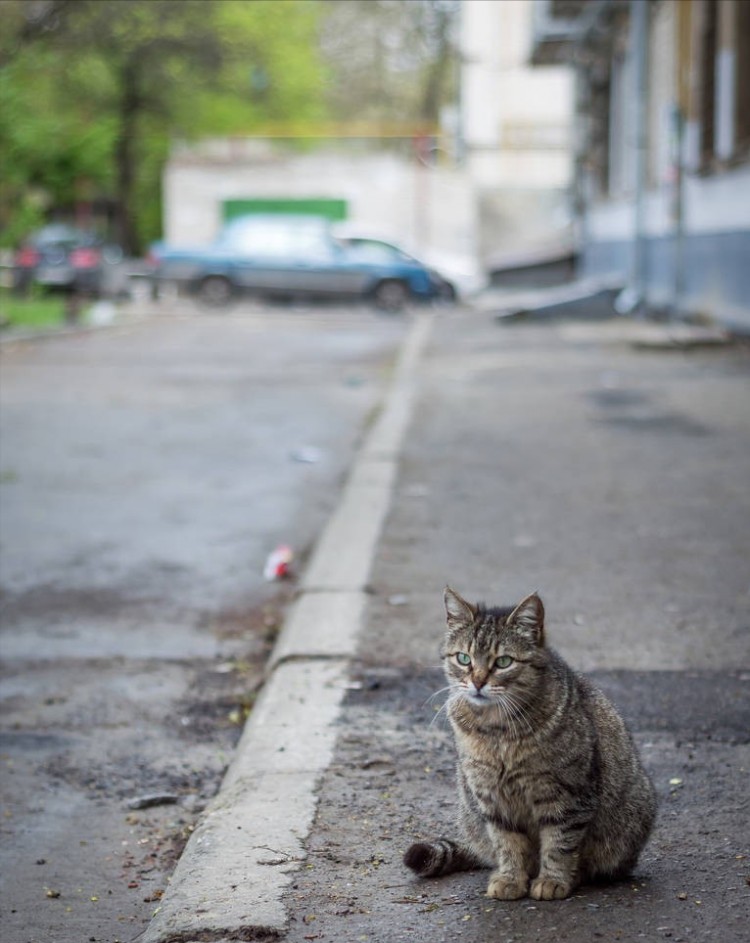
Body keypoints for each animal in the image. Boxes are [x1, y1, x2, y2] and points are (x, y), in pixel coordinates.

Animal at [406, 588, 656, 904]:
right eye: (463, 658)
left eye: (503, 662)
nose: (477, 682)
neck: (496, 729)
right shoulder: (492, 799)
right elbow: (508, 843)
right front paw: (511, 879)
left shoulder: (567, 797)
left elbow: (559, 844)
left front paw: (552, 880)